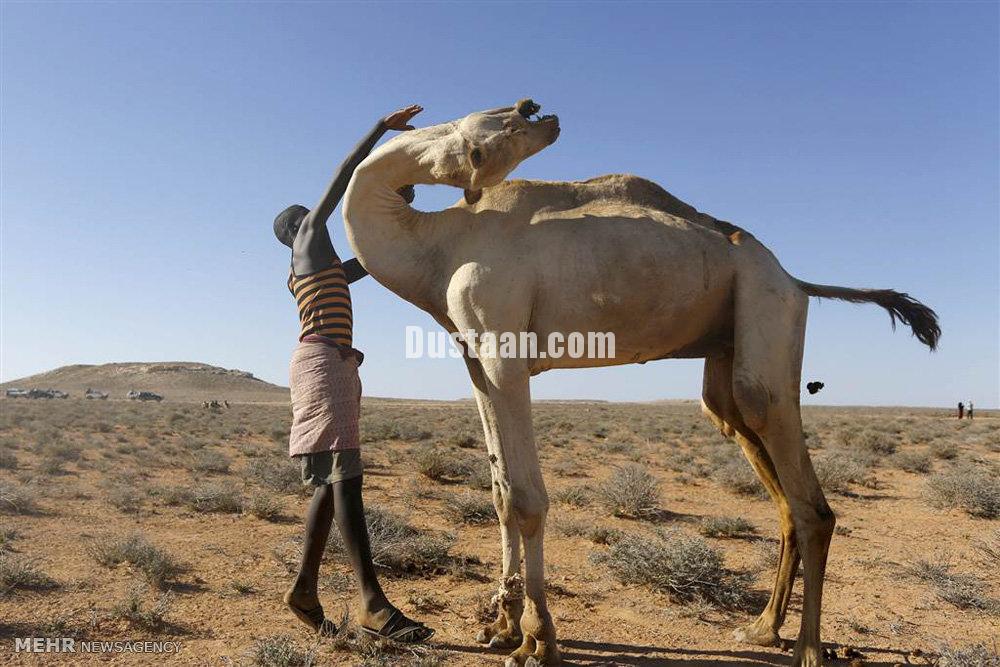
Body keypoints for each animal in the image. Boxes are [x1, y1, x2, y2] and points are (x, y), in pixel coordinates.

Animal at [342, 100, 936, 667]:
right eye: (500, 126)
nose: (534, 107)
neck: (437, 248)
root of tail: (795, 278)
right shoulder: (478, 359)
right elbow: (501, 493)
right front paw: (502, 627)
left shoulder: (505, 353)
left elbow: (528, 499)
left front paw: (538, 642)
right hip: (728, 351)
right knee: (760, 458)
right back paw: (762, 629)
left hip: (766, 306)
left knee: (796, 472)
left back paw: (807, 651)